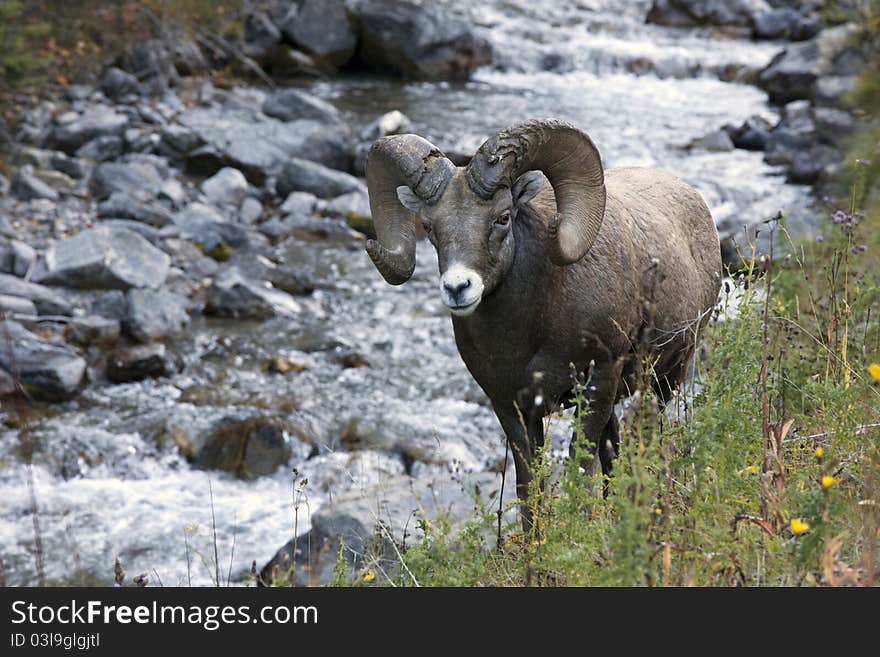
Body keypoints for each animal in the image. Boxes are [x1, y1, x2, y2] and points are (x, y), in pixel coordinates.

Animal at [364, 118, 720, 524]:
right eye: (428, 227)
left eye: (502, 217)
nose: (457, 287)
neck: (526, 338)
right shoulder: (509, 405)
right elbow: (529, 487)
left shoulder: (597, 382)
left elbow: (580, 471)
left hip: (666, 378)